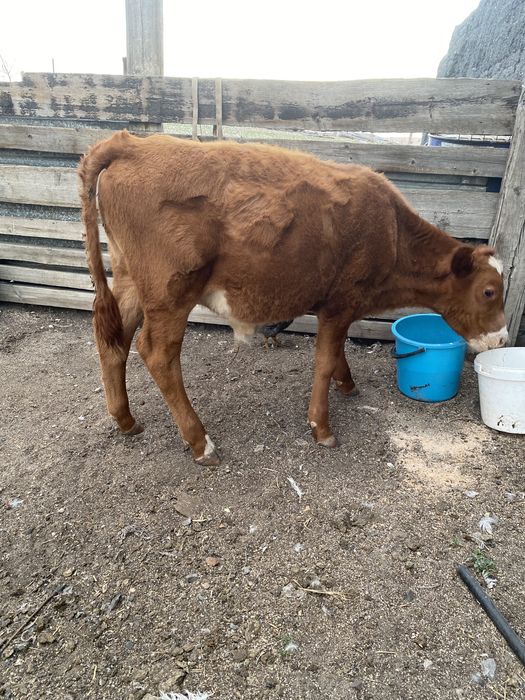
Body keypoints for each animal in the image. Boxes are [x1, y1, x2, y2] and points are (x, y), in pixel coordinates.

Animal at [79, 130, 507, 466]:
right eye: (488, 291)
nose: (503, 338)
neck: (391, 232)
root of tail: (131, 143)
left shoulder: (337, 306)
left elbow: (337, 355)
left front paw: (347, 384)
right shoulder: (340, 304)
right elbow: (324, 361)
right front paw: (322, 426)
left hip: (130, 280)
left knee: (113, 340)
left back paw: (125, 420)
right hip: (170, 292)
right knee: (156, 353)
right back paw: (200, 442)